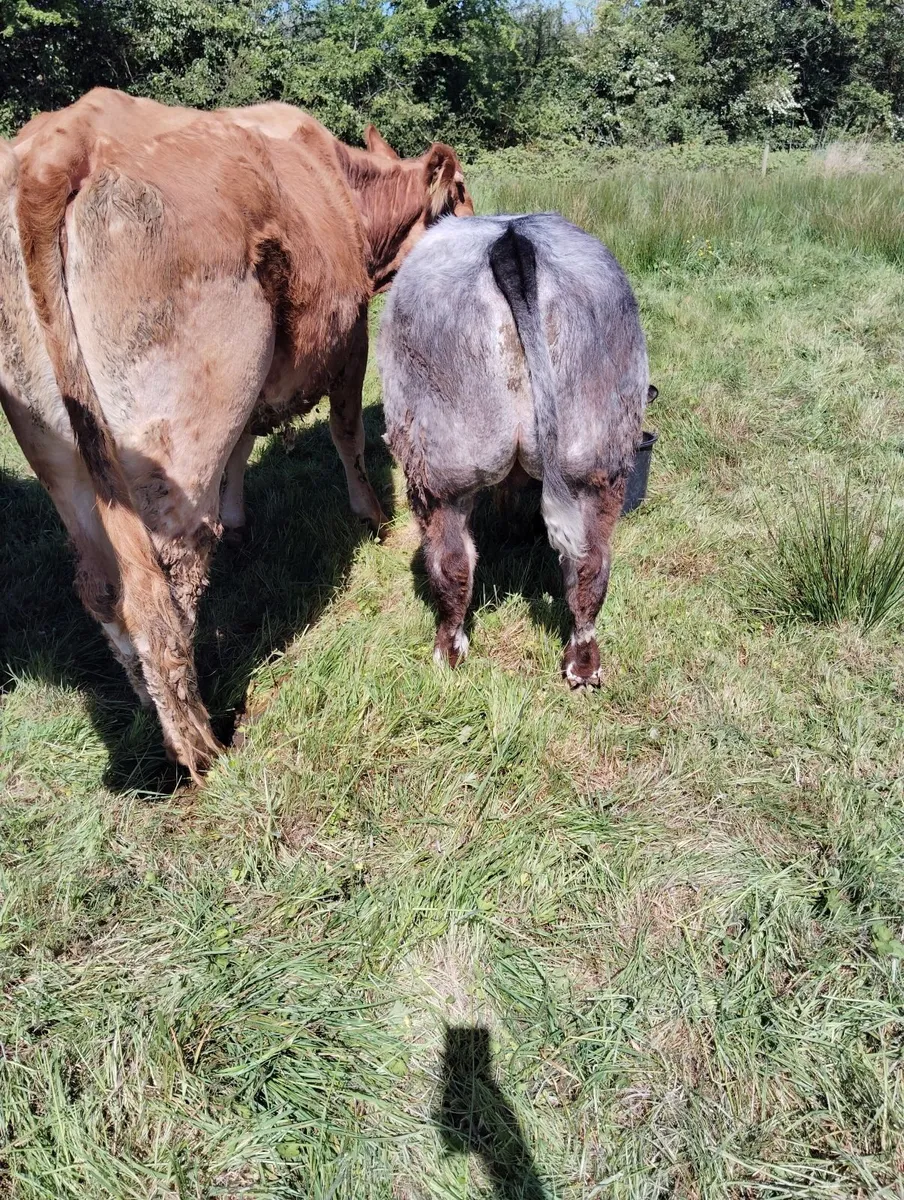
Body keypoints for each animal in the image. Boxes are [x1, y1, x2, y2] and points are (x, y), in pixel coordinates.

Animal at [0, 89, 472, 781]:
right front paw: (374, 517)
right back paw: (201, 747)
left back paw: (157, 717)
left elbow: (244, 448)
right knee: (162, 588)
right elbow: (349, 436)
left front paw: (242, 519)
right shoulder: (350, 336)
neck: (345, 192)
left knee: (103, 588)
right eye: (461, 197)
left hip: (61, 455)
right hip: (175, 441)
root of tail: (58, 145)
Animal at [377, 212, 649, 687]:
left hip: (437, 471)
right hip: (598, 461)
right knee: (591, 564)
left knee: (451, 563)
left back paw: (448, 652)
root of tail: (511, 239)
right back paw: (583, 663)